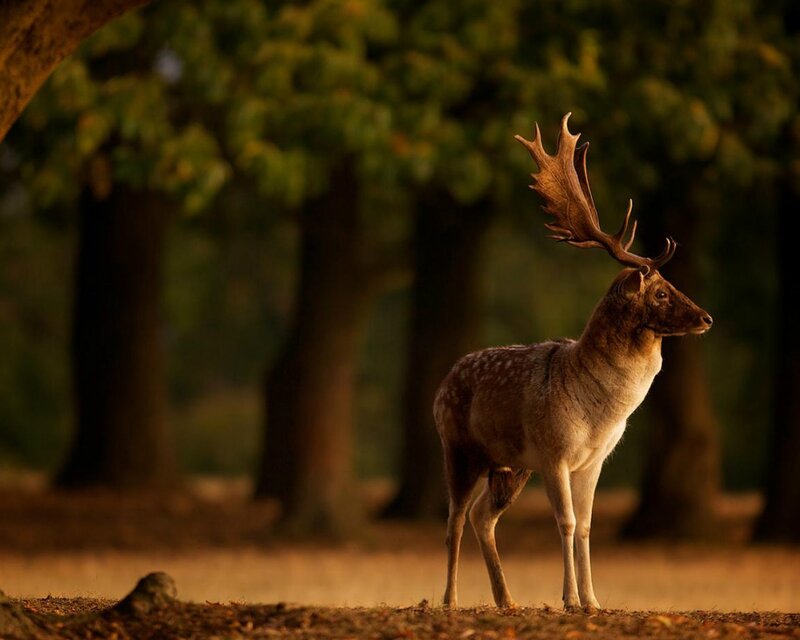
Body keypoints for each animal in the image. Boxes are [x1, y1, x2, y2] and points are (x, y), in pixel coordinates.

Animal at [434, 113, 713, 613]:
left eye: (672, 285)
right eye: (661, 292)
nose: (706, 317)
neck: (600, 414)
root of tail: (442, 383)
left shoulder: (592, 461)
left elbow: (585, 527)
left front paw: (592, 600)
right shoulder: (555, 452)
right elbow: (564, 524)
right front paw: (567, 598)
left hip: (510, 464)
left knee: (484, 517)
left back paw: (507, 600)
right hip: (459, 447)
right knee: (455, 520)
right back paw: (449, 599)